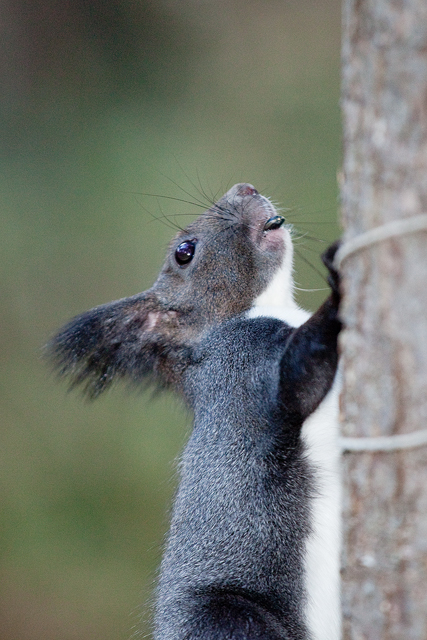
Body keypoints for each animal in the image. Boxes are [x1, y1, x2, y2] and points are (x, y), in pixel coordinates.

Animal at [48, 184, 342, 640]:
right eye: (184, 252)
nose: (245, 188)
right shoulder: (243, 366)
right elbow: (303, 372)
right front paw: (339, 285)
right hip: (228, 620)